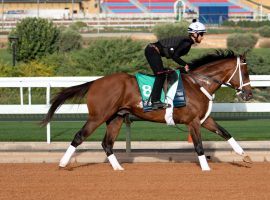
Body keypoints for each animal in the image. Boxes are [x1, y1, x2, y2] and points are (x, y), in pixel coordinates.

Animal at [41, 49, 253, 170]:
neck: (198, 84)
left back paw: (118, 168)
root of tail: (95, 82)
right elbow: (199, 146)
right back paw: (62, 164)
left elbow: (225, 132)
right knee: (79, 136)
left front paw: (245, 156)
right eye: (245, 72)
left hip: (116, 117)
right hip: (98, 116)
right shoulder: (192, 122)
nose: (248, 95)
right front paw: (206, 168)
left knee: (107, 144)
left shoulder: (203, 119)